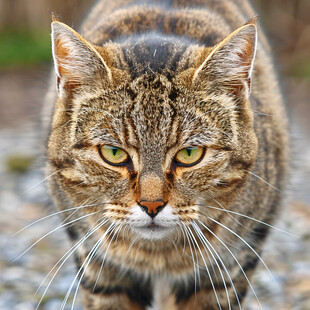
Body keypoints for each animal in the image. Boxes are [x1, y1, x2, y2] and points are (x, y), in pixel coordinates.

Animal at [44, 0, 290, 308]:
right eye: (113, 153)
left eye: (190, 153)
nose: (151, 205)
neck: (157, 255)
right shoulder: (98, 267)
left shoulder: (229, 268)